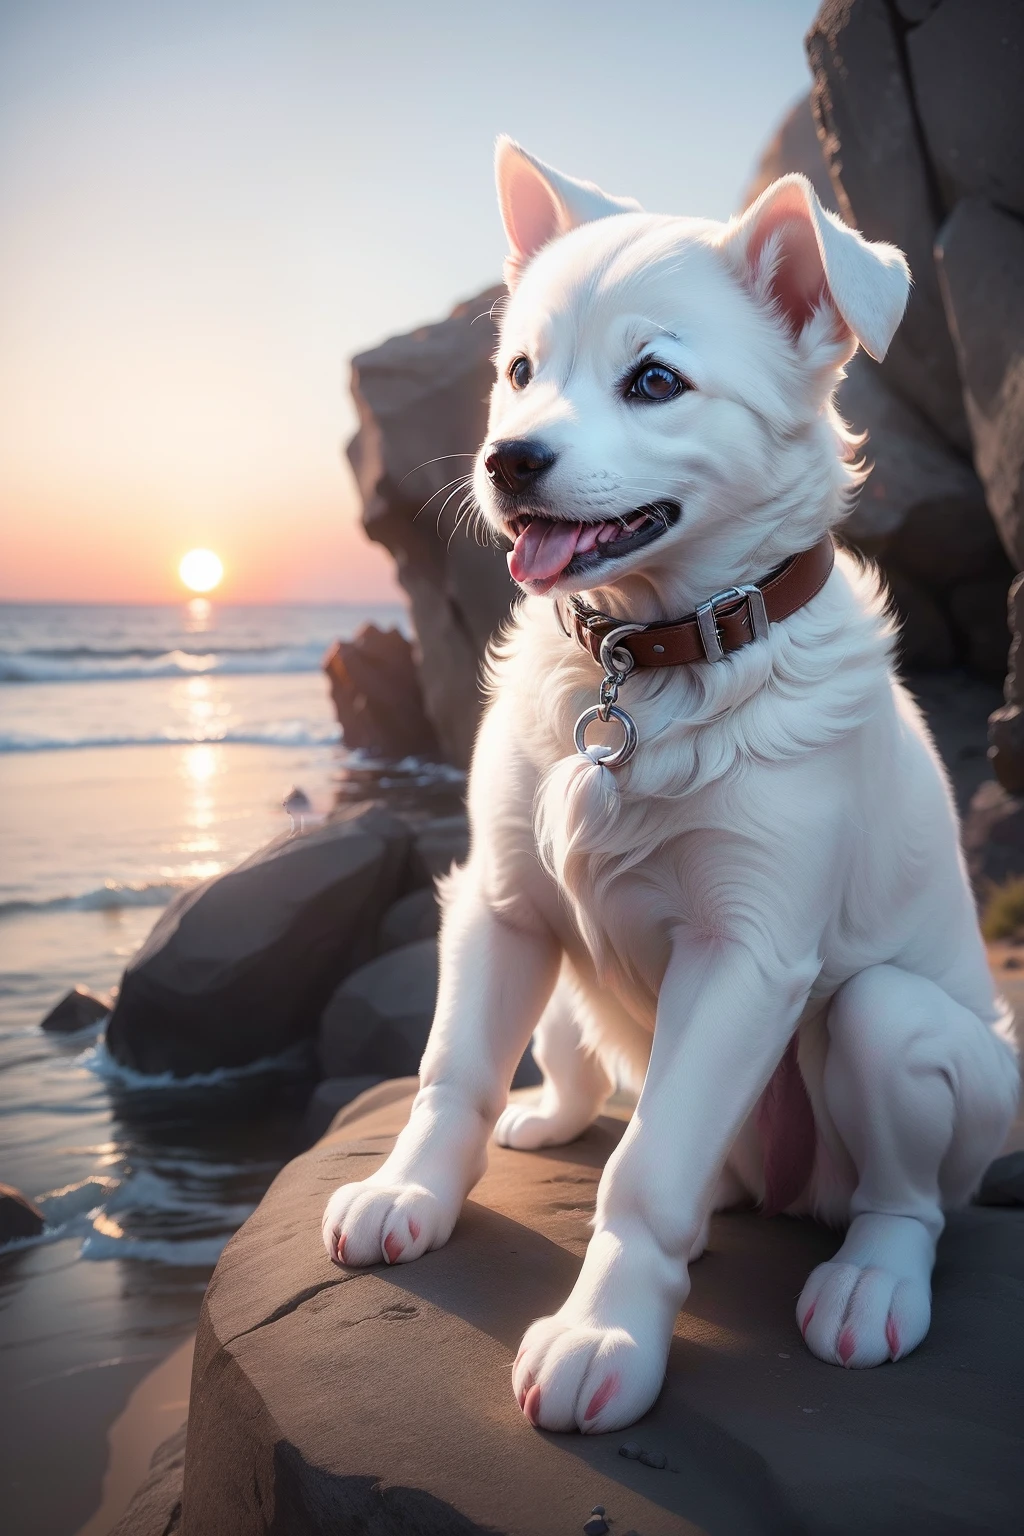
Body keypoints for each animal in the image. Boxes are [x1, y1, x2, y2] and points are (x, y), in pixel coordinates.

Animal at [323, 138, 1019, 1431]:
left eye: (654, 382)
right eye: (519, 372)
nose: (507, 458)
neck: (644, 660)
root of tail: (774, 1191)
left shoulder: (747, 950)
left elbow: (647, 1172)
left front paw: (602, 1334)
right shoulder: (497, 900)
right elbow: (450, 1074)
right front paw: (410, 1193)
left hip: (898, 1034)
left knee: (905, 1201)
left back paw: (867, 1285)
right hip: (560, 968)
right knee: (574, 1066)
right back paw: (555, 1117)